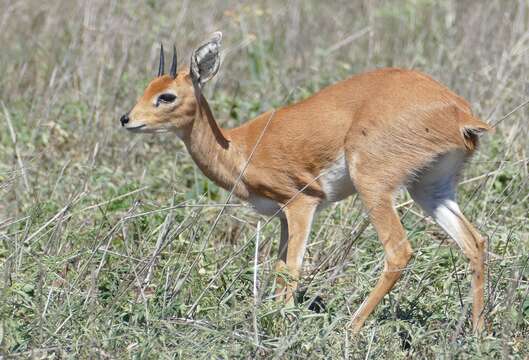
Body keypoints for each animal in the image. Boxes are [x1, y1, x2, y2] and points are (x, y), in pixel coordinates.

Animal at [119, 32, 490, 334]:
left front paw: (282, 322)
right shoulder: (283, 215)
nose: (127, 119)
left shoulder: (302, 203)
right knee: (475, 242)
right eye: (147, 89)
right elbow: (280, 267)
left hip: (373, 187)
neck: (239, 147)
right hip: (430, 190)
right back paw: (475, 332)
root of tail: (458, 113)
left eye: (166, 96)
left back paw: (350, 328)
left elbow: (292, 270)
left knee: (399, 251)